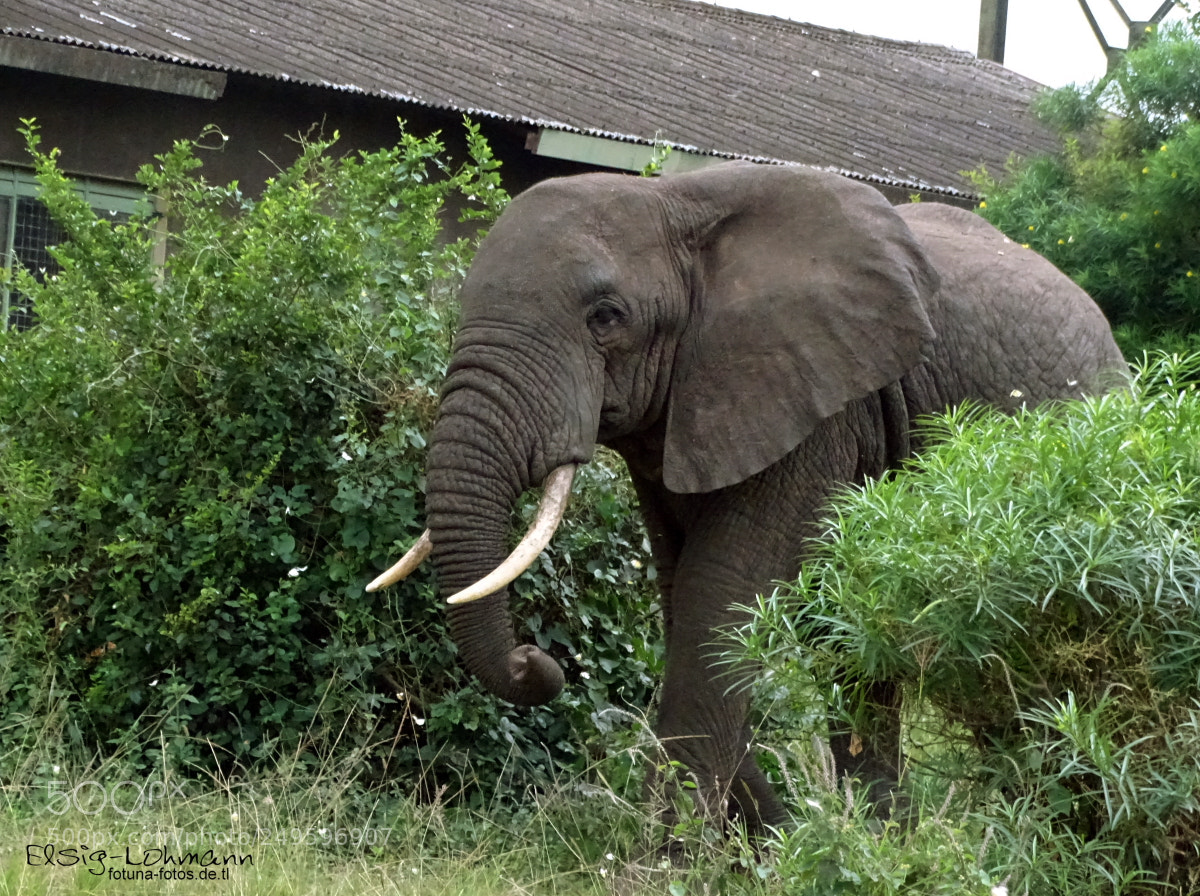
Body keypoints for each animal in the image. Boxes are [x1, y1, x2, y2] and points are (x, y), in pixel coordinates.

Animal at [367, 162, 1126, 836]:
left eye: (606, 317)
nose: (537, 662)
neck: (674, 203)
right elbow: (688, 600)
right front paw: (769, 845)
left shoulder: (819, 406)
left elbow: (719, 598)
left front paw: (668, 868)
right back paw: (887, 840)